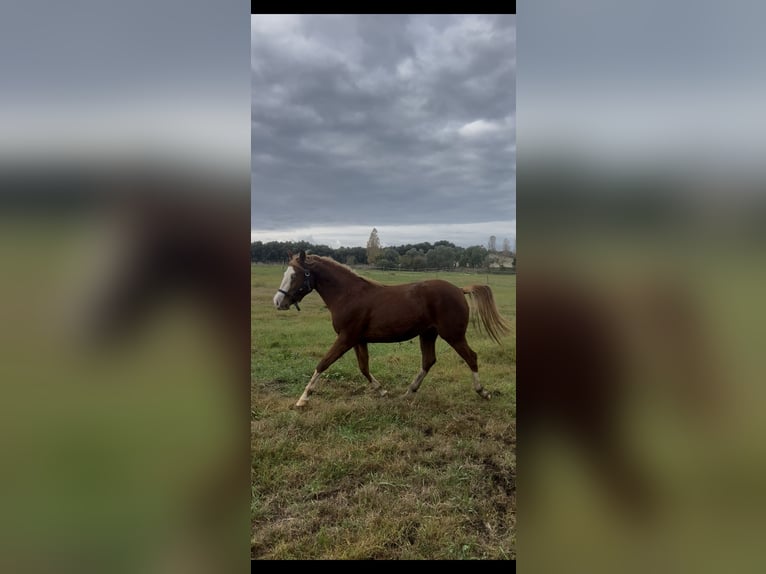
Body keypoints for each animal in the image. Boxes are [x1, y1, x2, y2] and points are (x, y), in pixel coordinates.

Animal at [273, 250, 512, 407]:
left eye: (294, 275)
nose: (278, 302)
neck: (348, 295)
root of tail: (460, 290)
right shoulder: (358, 340)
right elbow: (364, 368)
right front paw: (383, 391)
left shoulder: (346, 337)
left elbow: (323, 363)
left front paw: (302, 399)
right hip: (428, 334)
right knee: (429, 361)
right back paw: (408, 392)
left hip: (453, 335)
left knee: (471, 357)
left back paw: (483, 392)